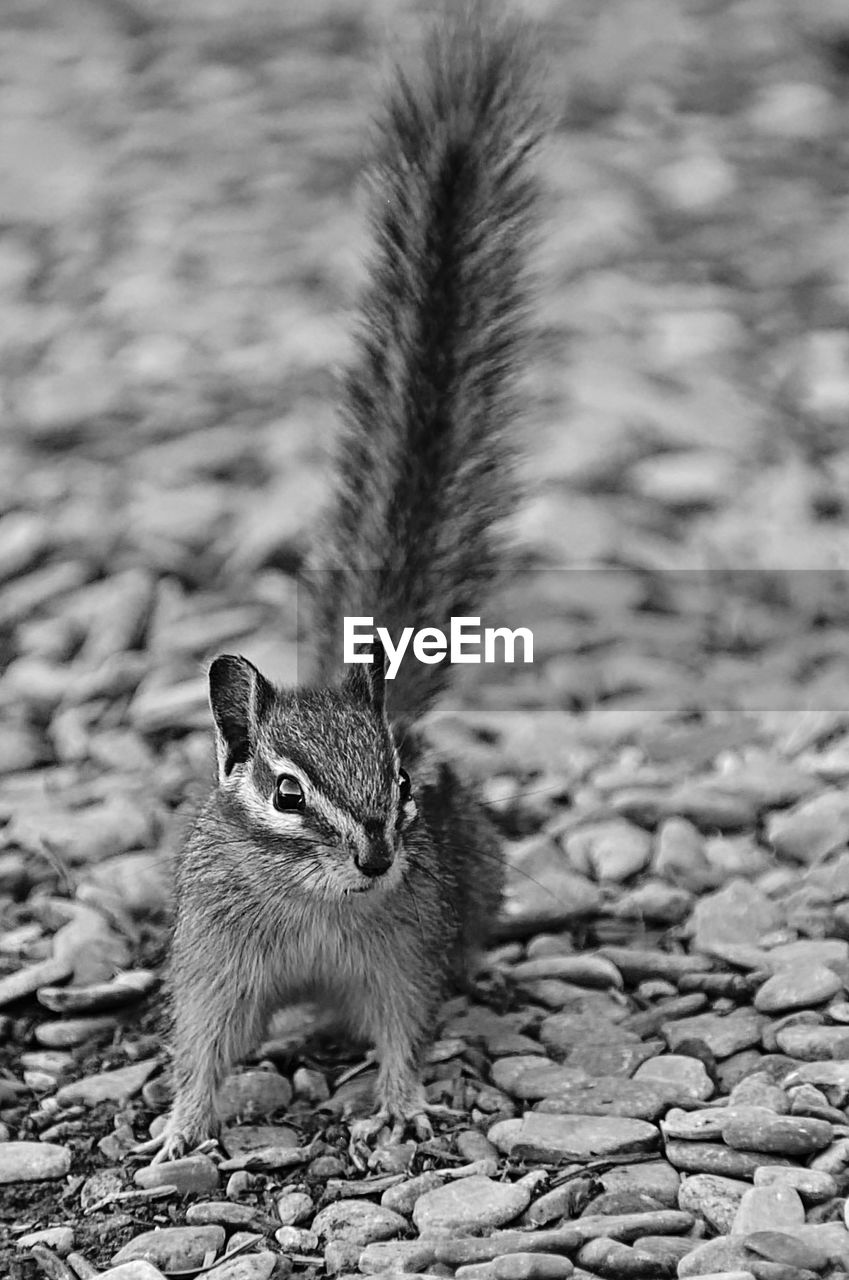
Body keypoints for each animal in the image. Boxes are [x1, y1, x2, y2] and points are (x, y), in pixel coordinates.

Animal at [137, 2, 540, 1162]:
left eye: (403, 785)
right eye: (285, 794)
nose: (374, 858)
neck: (318, 908)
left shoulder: (403, 950)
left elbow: (405, 1028)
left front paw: (401, 1103)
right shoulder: (214, 964)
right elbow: (201, 1048)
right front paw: (178, 1130)